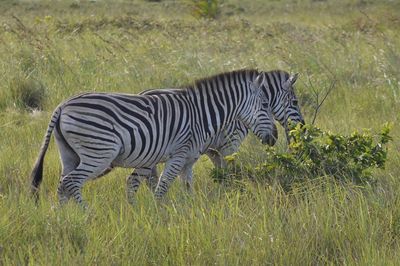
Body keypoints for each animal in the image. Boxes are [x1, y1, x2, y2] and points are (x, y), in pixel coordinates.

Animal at [30, 69, 276, 206]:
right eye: (265, 105)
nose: (274, 138)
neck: (200, 114)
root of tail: (62, 105)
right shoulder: (178, 155)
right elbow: (162, 187)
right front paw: (160, 216)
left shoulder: (188, 160)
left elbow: (187, 186)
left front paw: (189, 211)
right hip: (99, 152)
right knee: (72, 182)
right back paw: (86, 214)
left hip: (69, 153)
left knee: (63, 185)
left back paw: (64, 218)